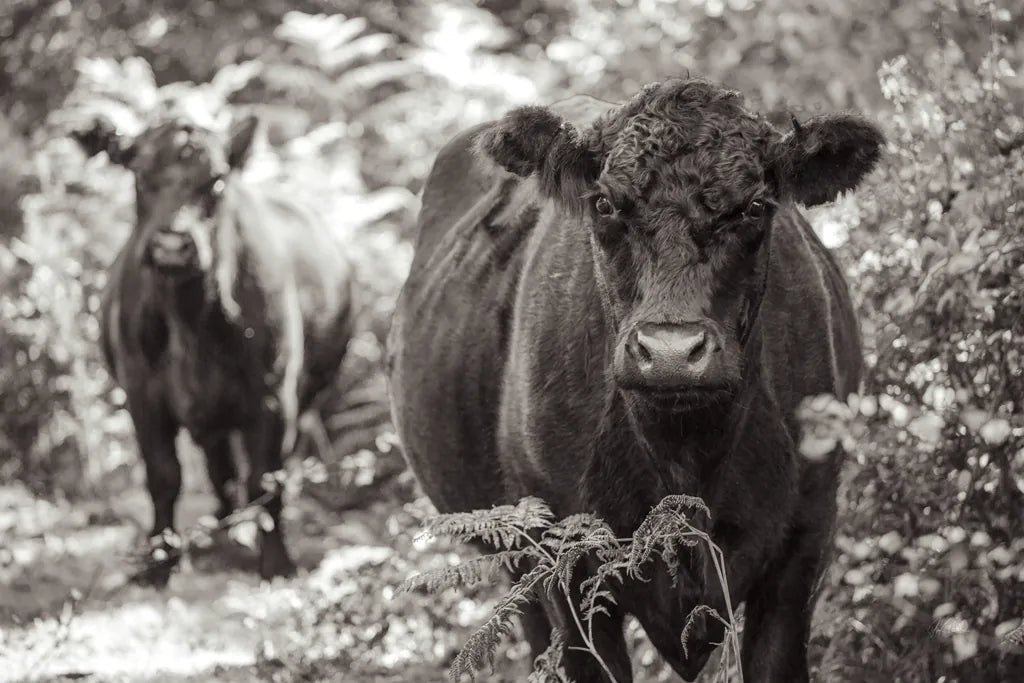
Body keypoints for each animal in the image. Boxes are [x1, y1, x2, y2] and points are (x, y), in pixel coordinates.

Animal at [71, 113, 357, 584]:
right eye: (139, 174)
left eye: (217, 181)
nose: (172, 245)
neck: (191, 322)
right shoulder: (141, 393)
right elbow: (164, 475)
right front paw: (160, 560)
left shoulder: (274, 395)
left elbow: (265, 477)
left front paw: (276, 561)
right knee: (218, 467)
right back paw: (222, 529)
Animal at [386, 77, 883, 682]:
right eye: (603, 203)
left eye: (754, 207)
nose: (670, 353)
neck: (684, 456)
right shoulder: (562, 569)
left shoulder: (802, 544)